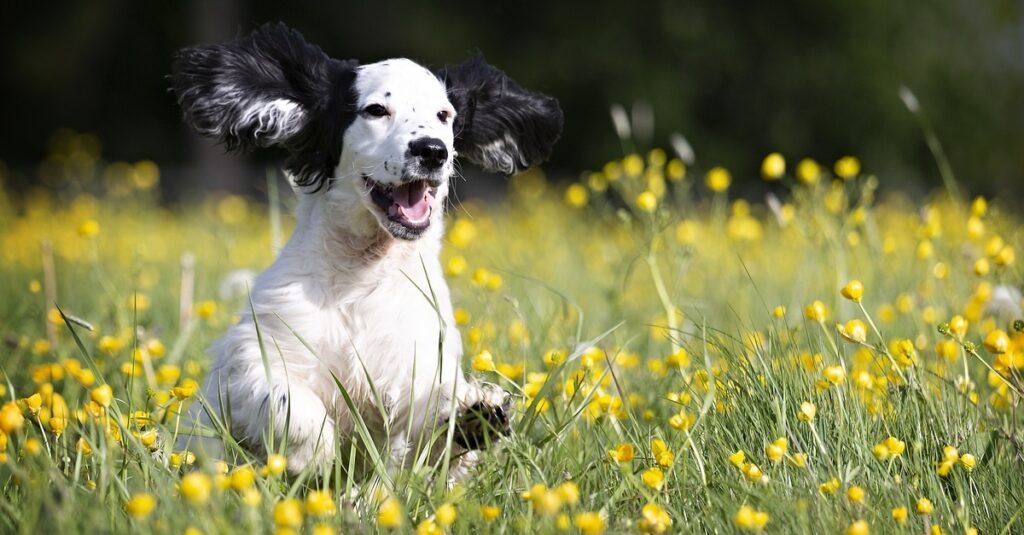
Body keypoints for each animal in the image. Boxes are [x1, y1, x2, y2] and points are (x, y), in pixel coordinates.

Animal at [171, 22, 565, 477]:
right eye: (376, 110)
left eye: (444, 115)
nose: (433, 150)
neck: (364, 274)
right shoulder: (252, 359)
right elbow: (287, 398)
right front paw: (311, 453)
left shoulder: (418, 368)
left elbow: (430, 426)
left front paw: (475, 416)